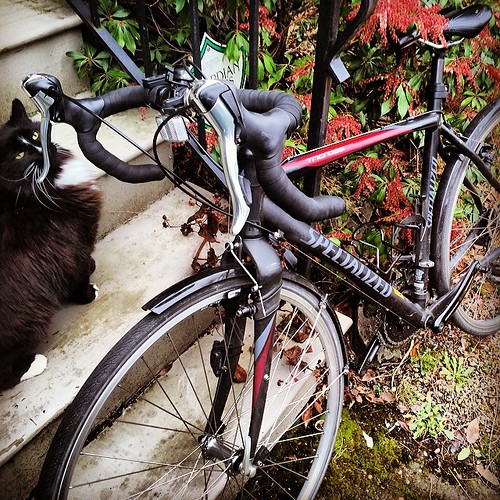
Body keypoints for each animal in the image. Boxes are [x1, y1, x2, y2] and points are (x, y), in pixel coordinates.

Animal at [0, 99, 102, 392]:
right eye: (19, 156)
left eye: (35, 135)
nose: (43, 149)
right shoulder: (71, 246)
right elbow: (79, 274)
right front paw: (88, 294)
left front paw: (93, 267)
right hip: (28, 315)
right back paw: (34, 364)